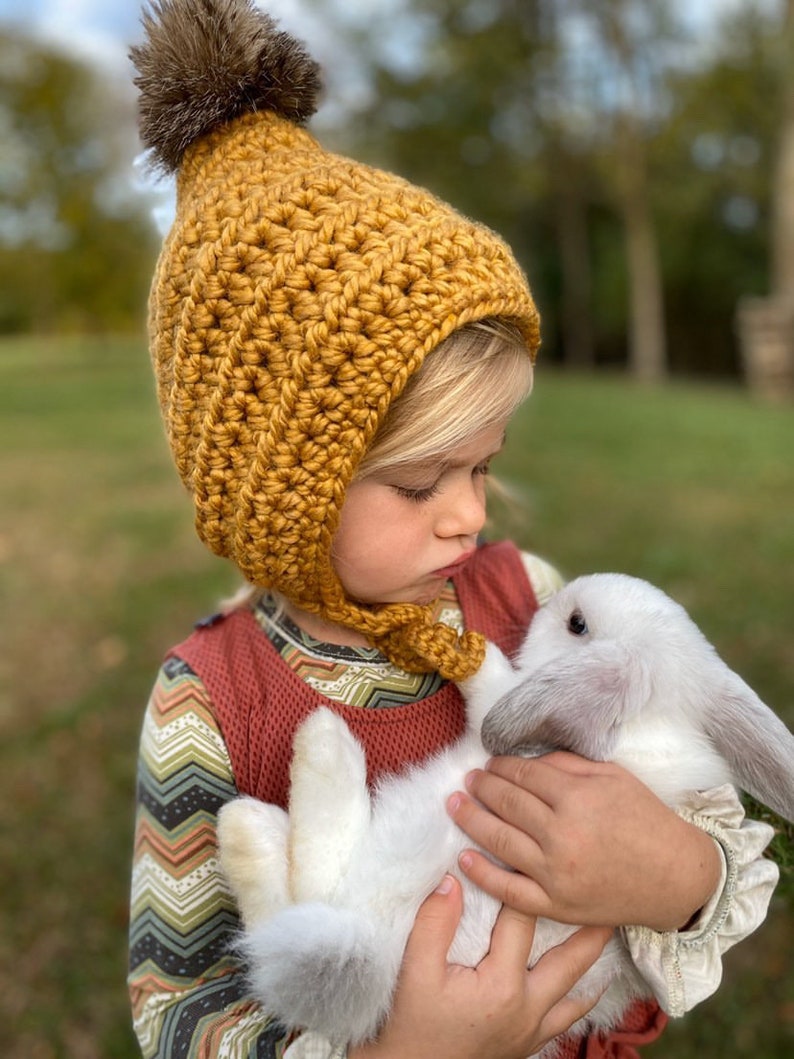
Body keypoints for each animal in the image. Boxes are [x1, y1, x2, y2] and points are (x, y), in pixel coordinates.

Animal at [218, 576, 794, 1054]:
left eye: (577, 623)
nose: (549, 603)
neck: (649, 723)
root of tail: (375, 951)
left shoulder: (499, 715)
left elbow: (493, 690)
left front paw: (469, 654)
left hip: (383, 863)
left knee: (310, 898)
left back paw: (299, 770)